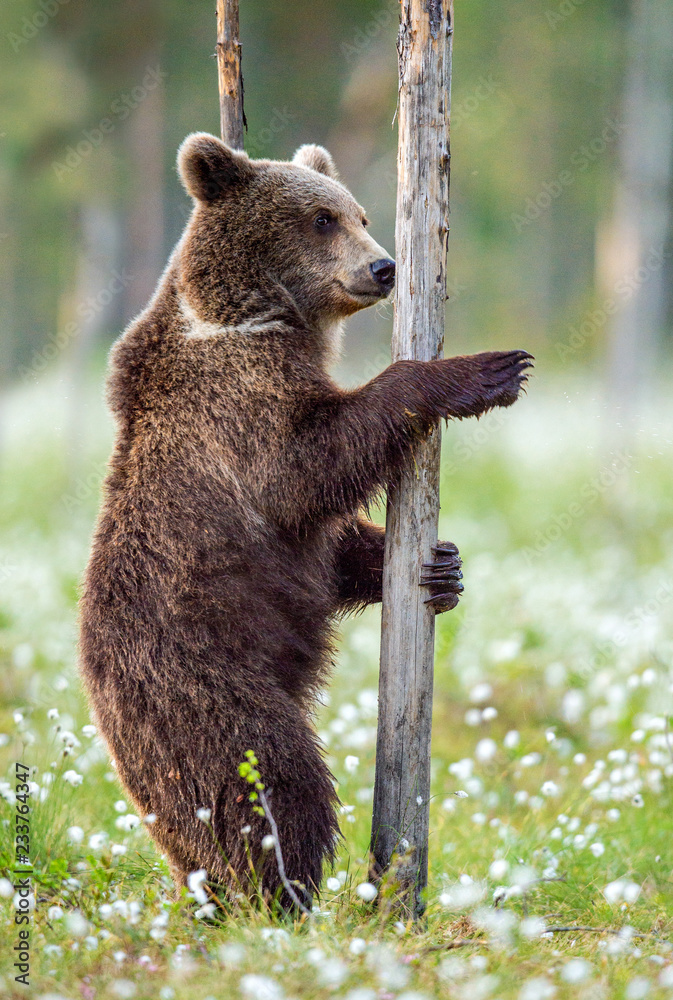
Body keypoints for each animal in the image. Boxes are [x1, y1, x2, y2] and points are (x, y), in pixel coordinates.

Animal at [78, 132, 532, 910]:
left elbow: (329, 538)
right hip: (198, 679)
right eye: (321, 219)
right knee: (269, 778)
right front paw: (488, 372)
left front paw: (439, 567)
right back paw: (278, 892)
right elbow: (308, 469)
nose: (383, 266)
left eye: (358, 214)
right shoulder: (237, 404)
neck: (256, 316)